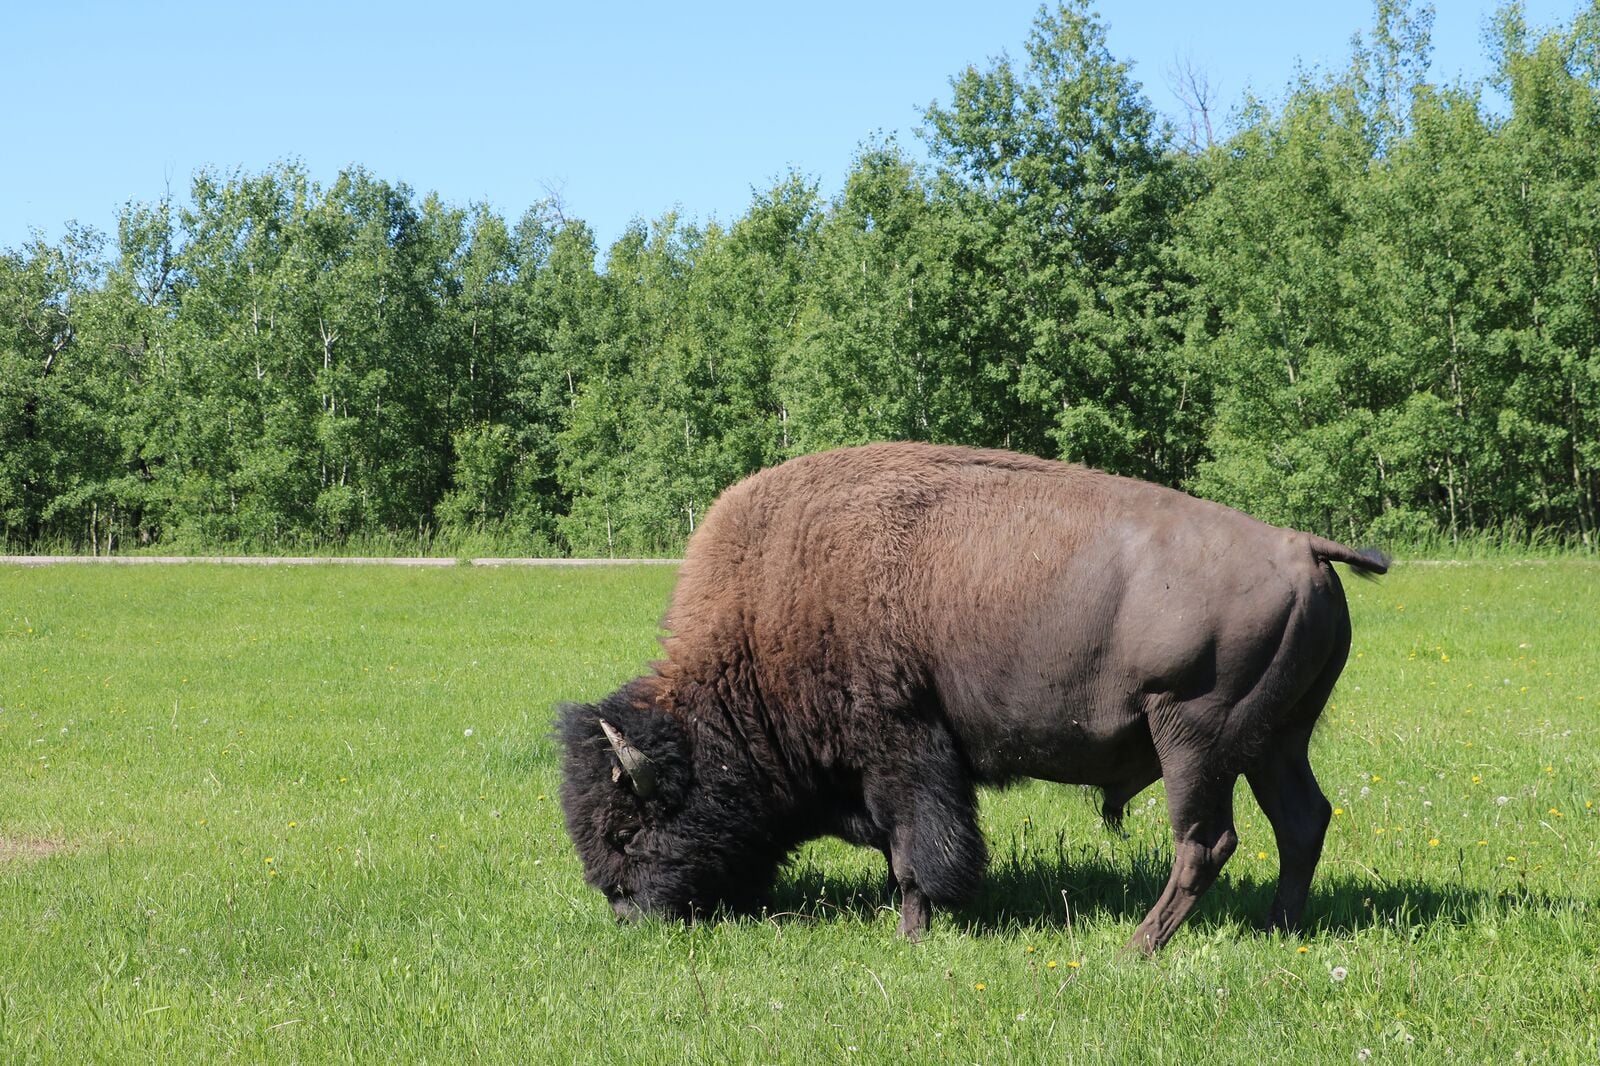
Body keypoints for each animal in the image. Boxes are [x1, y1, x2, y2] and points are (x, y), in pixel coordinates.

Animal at [559, 443, 1387, 952]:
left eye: (628, 831)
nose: (627, 913)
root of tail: (1303, 547)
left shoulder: (904, 753)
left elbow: (915, 853)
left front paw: (911, 932)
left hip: (1195, 740)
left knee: (1206, 843)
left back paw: (1138, 948)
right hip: (1276, 742)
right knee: (1301, 822)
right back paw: (1277, 930)